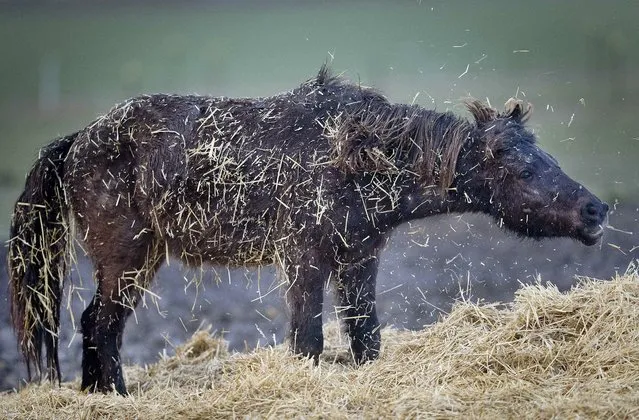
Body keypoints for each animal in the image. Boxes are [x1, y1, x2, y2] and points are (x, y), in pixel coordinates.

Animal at [8, 66, 608, 394]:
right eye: (523, 170)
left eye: (547, 157)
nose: (596, 211)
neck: (355, 154)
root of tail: (79, 138)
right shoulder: (304, 262)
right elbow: (308, 342)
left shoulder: (358, 260)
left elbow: (366, 339)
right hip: (127, 258)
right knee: (102, 324)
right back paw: (118, 396)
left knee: (96, 323)